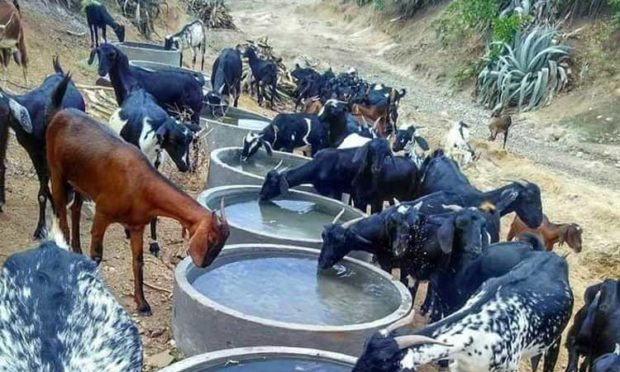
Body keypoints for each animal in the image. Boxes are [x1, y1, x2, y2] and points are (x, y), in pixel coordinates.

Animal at [109, 87, 199, 258]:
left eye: (189, 141)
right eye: (173, 140)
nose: (185, 166)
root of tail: (140, 91)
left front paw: (154, 244)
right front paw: (128, 230)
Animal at [356, 250, 572, 372]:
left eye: (379, 367)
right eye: (361, 360)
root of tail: (557, 258)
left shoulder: (509, 368)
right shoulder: (459, 366)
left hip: (554, 343)